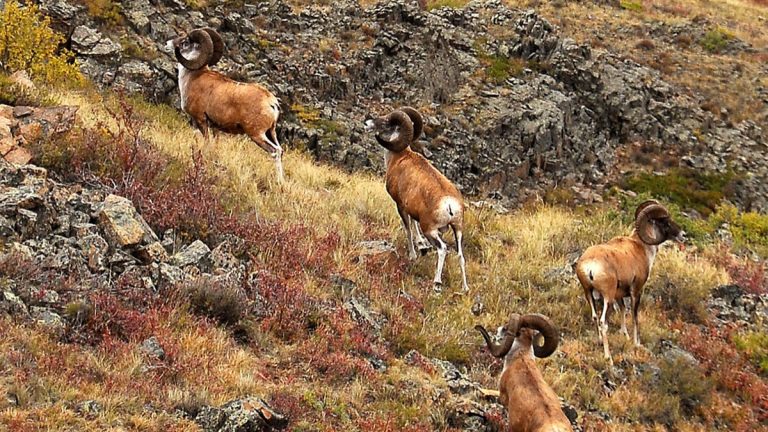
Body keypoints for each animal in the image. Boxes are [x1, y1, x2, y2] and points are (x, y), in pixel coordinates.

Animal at [167, 27, 284, 183]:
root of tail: (272, 103)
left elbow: (206, 142)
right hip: (271, 133)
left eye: (185, 42)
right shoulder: (215, 127)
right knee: (280, 150)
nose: (167, 44)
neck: (192, 78)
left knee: (275, 152)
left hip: (257, 134)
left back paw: (279, 182)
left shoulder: (200, 120)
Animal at [365, 107, 468, 292]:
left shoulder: (400, 206)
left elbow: (408, 229)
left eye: (386, 122)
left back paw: (437, 283)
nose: (367, 123)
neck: (398, 158)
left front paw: (413, 255)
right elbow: (413, 224)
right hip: (458, 230)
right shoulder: (411, 210)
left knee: (443, 249)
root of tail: (449, 204)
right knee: (460, 255)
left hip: (431, 230)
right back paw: (464, 289)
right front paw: (421, 245)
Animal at [574, 200, 686, 365]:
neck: (642, 248)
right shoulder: (636, 292)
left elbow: (623, 310)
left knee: (595, 317)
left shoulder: (619, 295)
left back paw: (600, 342)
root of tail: (590, 265)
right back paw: (608, 358)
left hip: (588, 292)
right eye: (665, 221)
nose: (683, 235)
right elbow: (634, 316)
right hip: (607, 297)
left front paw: (624, 335)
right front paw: (636, 343)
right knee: (603, 322)